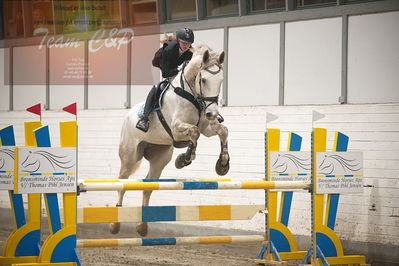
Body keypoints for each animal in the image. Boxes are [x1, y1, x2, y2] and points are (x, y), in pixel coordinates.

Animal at [111, 45, 230, 237]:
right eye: (203, 80)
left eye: (221, 80)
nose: (212, 113)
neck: (191, 94)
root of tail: (128, 115)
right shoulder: (176, 128)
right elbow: (194, 133)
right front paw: (184, 159)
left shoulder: (207, 127)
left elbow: (222, 131)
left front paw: (223, 165)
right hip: (129, 157)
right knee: (122, 183)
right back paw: (115, 224)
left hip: (160, 158)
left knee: (148, 185)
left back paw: (143, 227)